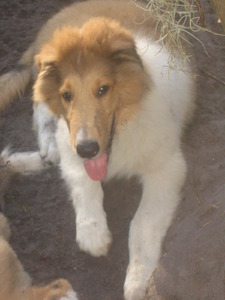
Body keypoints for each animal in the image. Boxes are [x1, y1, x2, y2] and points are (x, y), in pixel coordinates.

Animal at [0, 1, 195, 298]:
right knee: (38, 101)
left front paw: (138, 279)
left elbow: (143, 221)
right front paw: (92, 232)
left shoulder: (167, 168)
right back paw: (46, 144)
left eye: (103, 90)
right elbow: (83, 183)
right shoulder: (70, 143)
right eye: (67, 95)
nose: (88, 150)